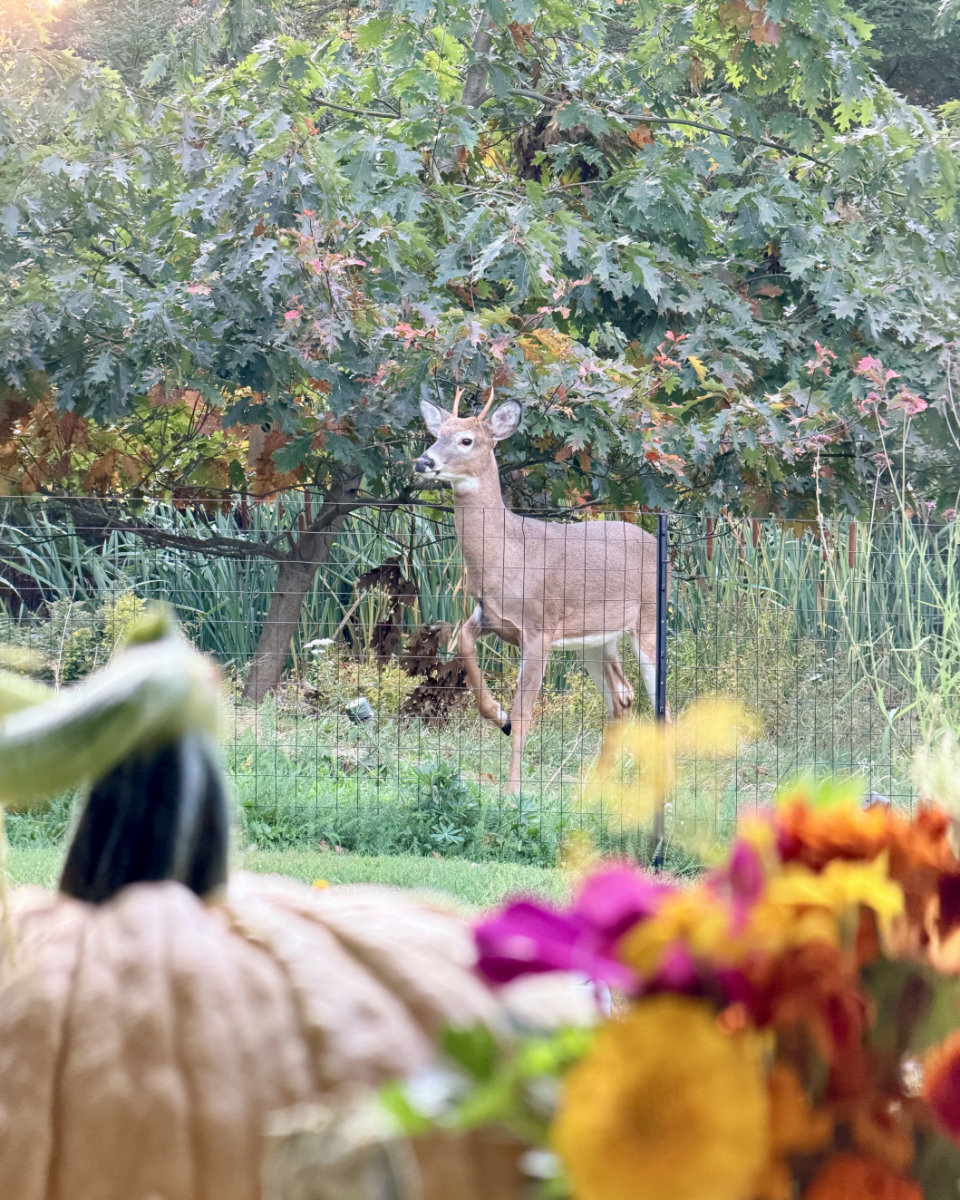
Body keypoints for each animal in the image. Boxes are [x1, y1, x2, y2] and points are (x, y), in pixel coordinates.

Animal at [414, 389, 662, 795]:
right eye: (437, 435)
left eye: (466, 440)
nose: (423, 461)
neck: (507, 553)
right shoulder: (490, 616)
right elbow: (464, 646)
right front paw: (497, 715)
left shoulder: (539, 629)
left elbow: (525, 712)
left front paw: (512, 791)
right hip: (595, 640)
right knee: (622, 697)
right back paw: (593, 787)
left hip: (648, 621)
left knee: (659, 702)